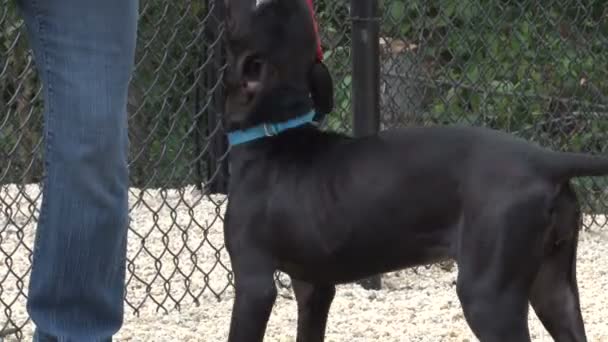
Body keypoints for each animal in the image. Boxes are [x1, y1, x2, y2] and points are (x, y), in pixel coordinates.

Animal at [221, 1, 604, 340]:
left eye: (259, 5)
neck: (275, 131)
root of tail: (545, 160)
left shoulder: (254, 282)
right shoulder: (314, 286)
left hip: (489, 294)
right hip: (553, 286)